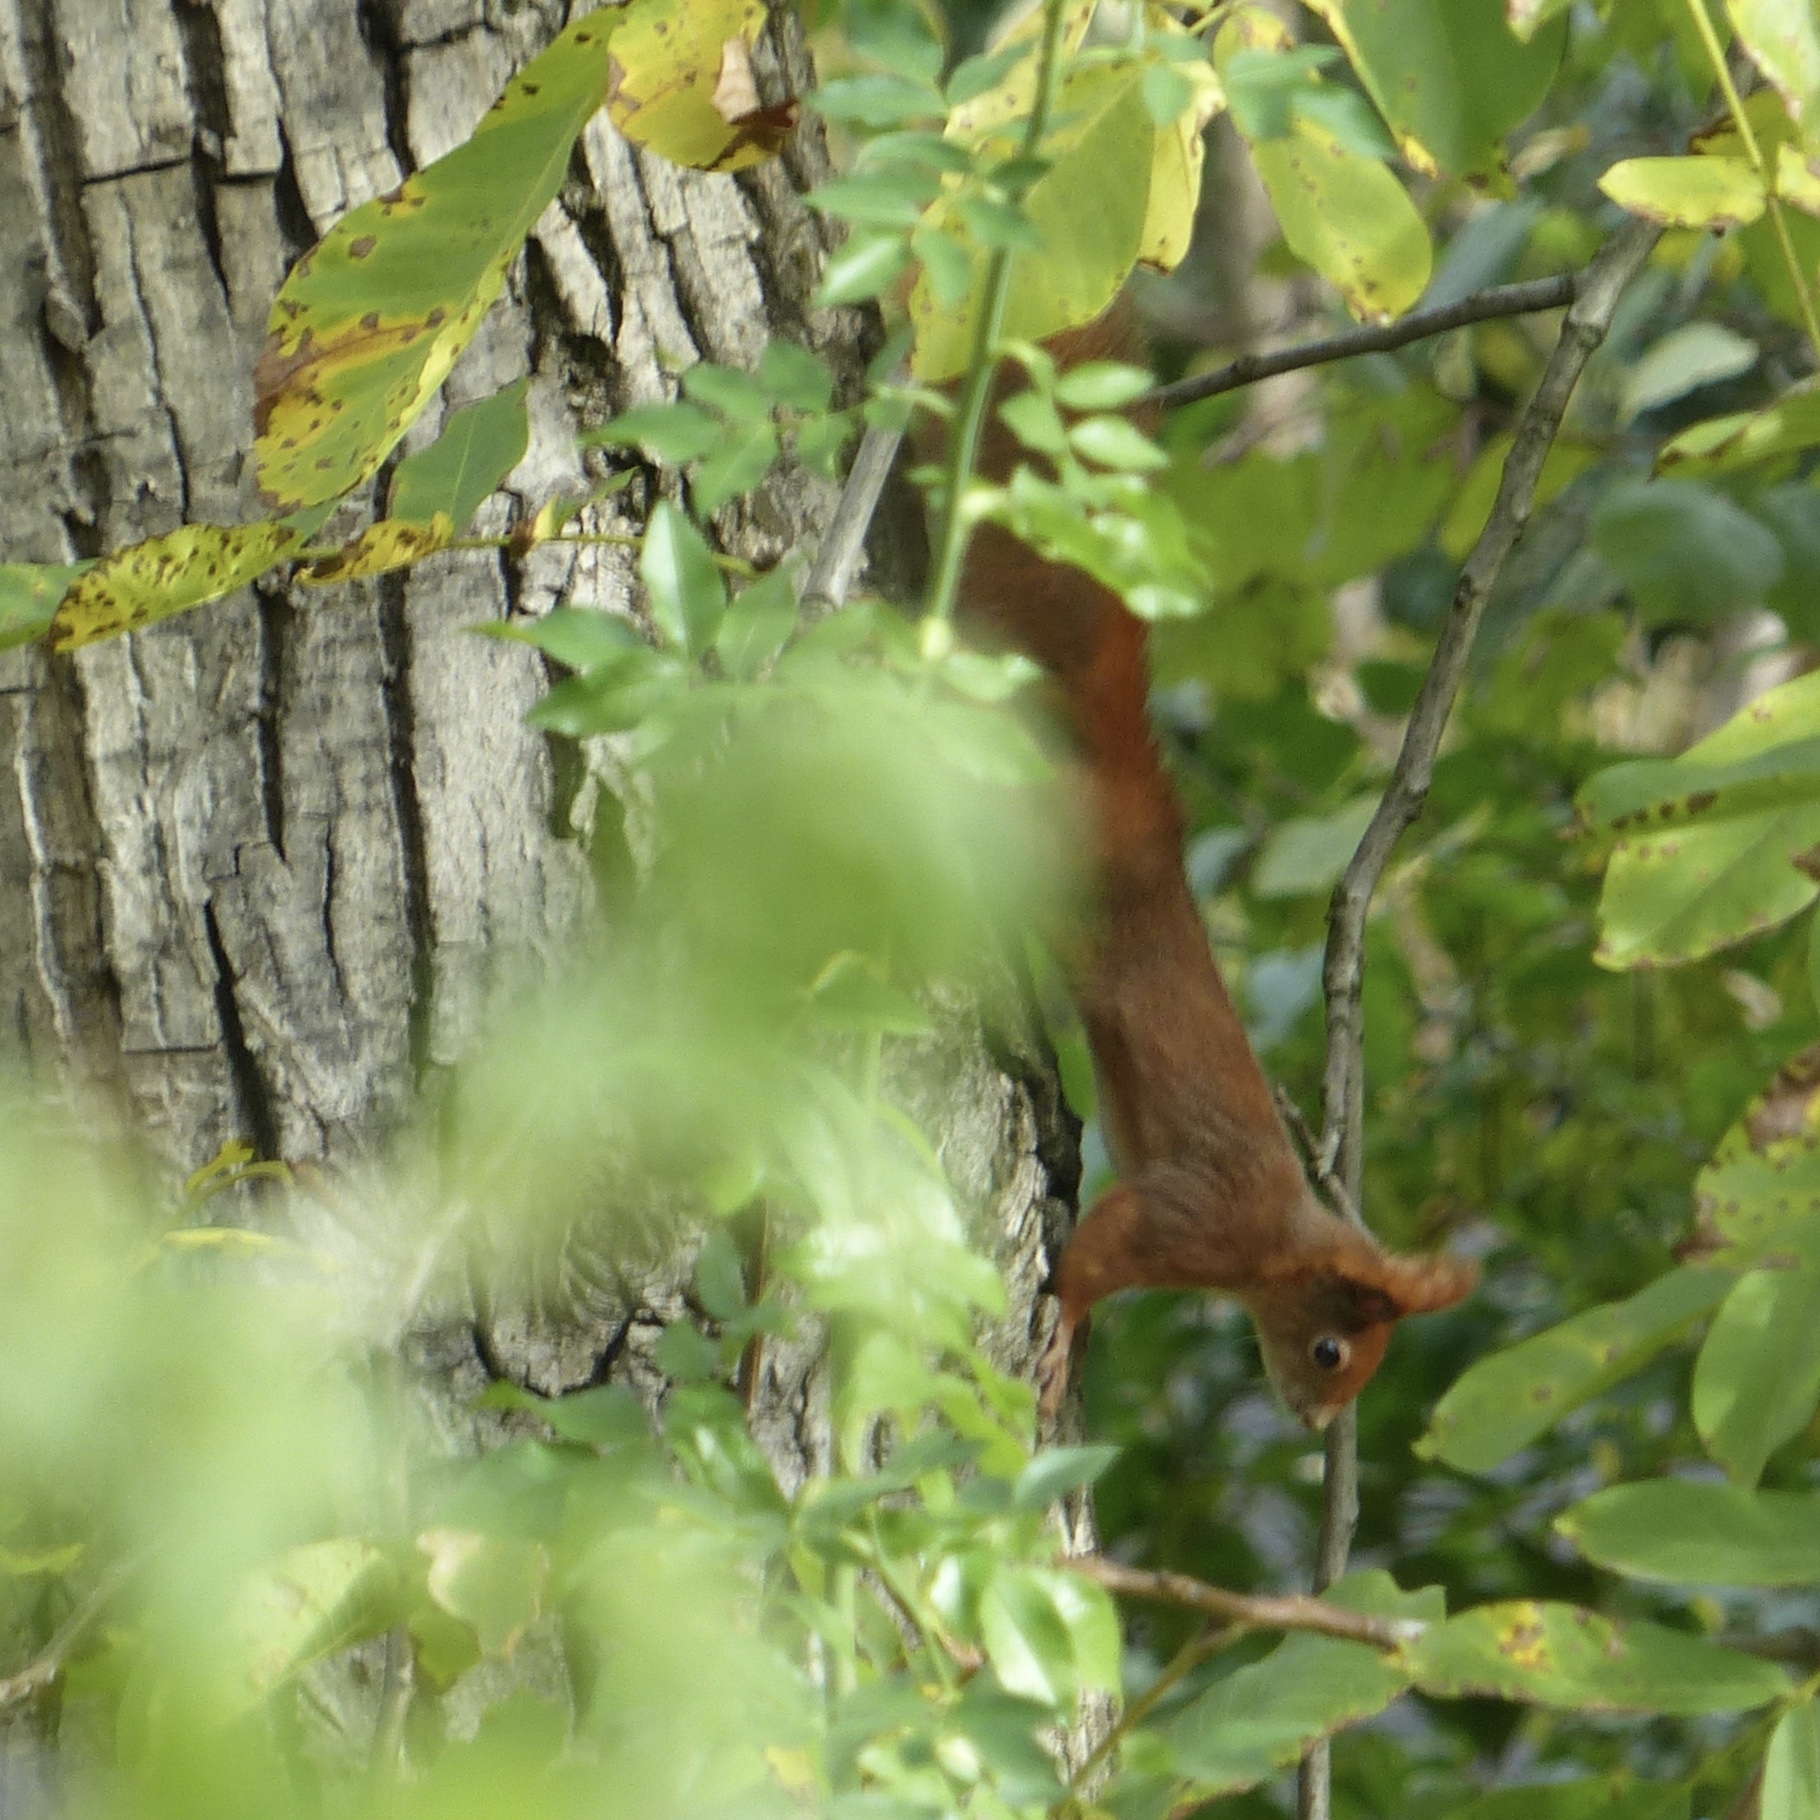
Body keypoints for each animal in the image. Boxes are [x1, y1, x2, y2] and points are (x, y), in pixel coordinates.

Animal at [960, 305, 1470, 1426]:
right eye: (1332, 1349)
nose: (1316, 1419)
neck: (1275, 1243)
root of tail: (1143, 804)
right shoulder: (1192, 1218)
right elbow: (1096, 1255)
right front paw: (1066, 1330)